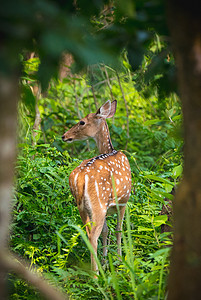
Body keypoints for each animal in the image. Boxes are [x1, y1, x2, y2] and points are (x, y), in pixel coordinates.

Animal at [62, 100, 133, 272]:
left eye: (82, 122)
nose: (64, 136)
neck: (111, 150)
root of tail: (80, 179)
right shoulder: (123, 201)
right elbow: (119, 229)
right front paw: (119, 260)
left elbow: (106, 231)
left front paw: (106, 260)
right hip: (98, 204)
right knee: (93, 234)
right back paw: (96, 273)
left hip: (82, 206)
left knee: (87, 232)